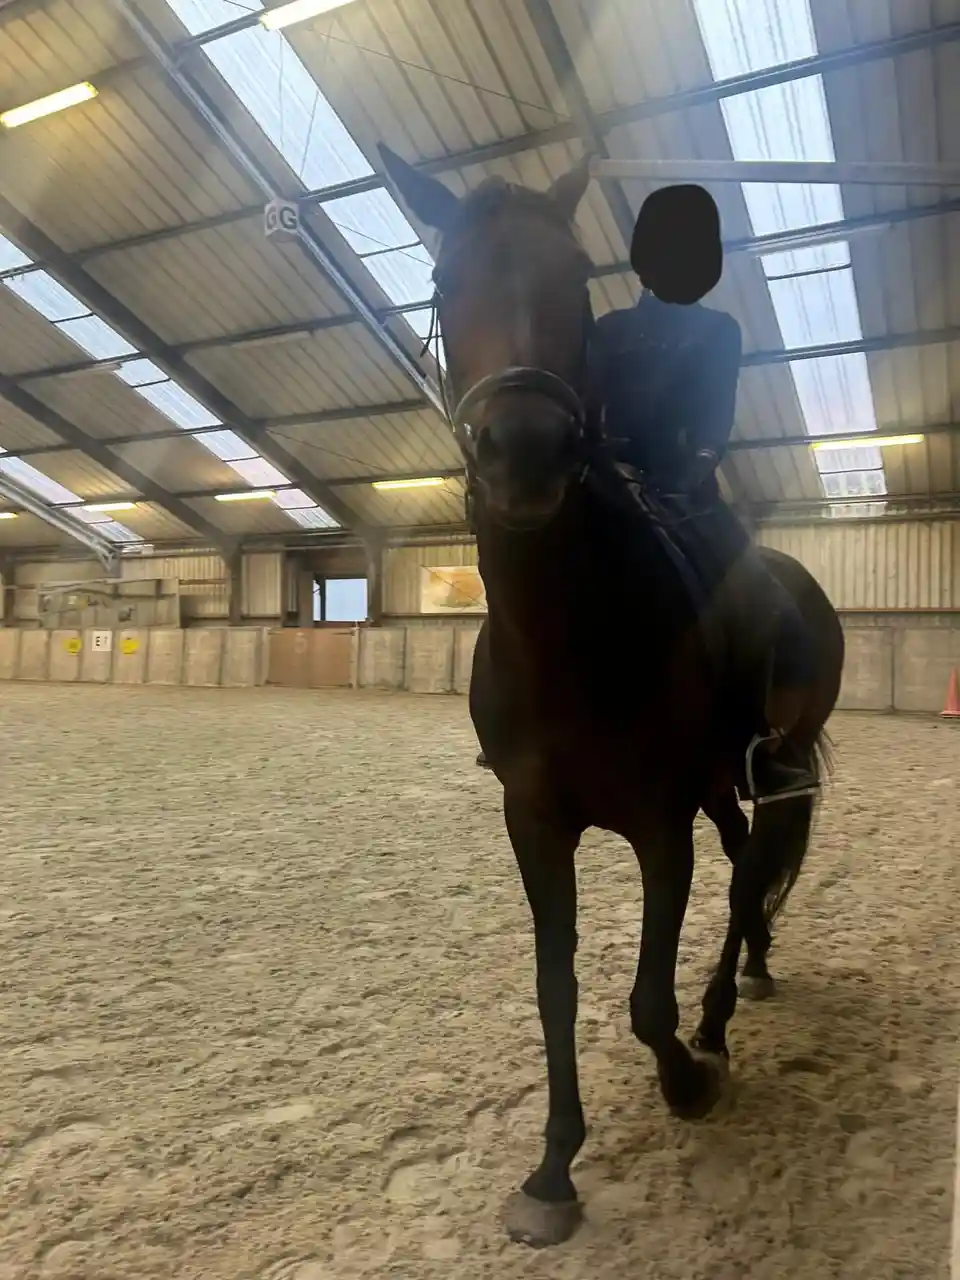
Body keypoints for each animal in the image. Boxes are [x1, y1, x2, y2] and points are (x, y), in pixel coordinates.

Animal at [379, 145, 844, 1249]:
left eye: (576, 283)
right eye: (442, 282)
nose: (523, 453)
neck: (569, 635)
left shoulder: (656, 822)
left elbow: (644, 1000)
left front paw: (687, 1083)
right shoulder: (535, 818)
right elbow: (556, 988)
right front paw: (553, 1171)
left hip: (767, 760)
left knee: (748, 875)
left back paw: (723, 1012)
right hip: (720, 780)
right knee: (747, 866)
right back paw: (751, 974)